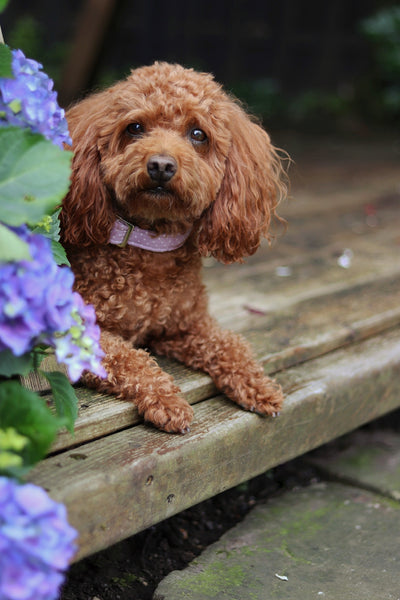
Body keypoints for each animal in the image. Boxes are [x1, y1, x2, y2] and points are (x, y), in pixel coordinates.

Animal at [61, 63, 288, 434]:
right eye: (135, 128)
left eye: (198, 134)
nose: (161, 165)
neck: (151, 243)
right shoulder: (78, 329)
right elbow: (130, 358)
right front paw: (167, 401)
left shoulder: (186, 326)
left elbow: (230, 344)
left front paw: (259, 385)